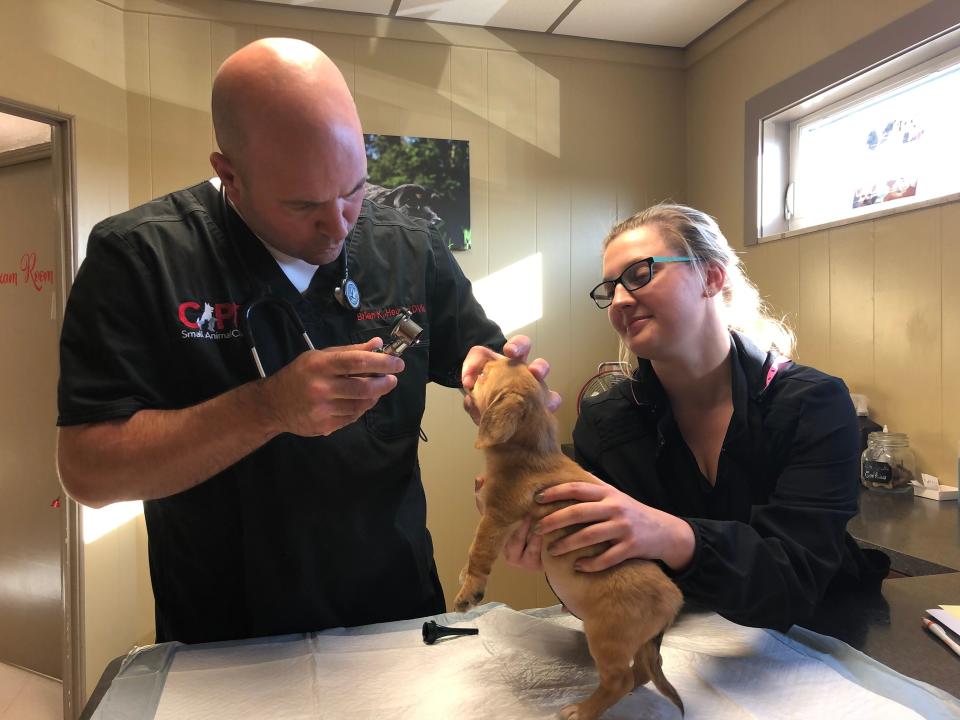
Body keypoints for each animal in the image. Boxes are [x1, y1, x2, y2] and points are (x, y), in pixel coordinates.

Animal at [452, 360, 684, 720]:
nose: (473, 365)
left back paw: (582, 710)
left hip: (605, 637)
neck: (530, 450)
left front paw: (469, 591)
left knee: (618, 680)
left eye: (485, 373)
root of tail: (673, 600)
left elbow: (478, 551)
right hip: (636, 644)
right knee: (643, 670)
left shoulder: (496, 517)